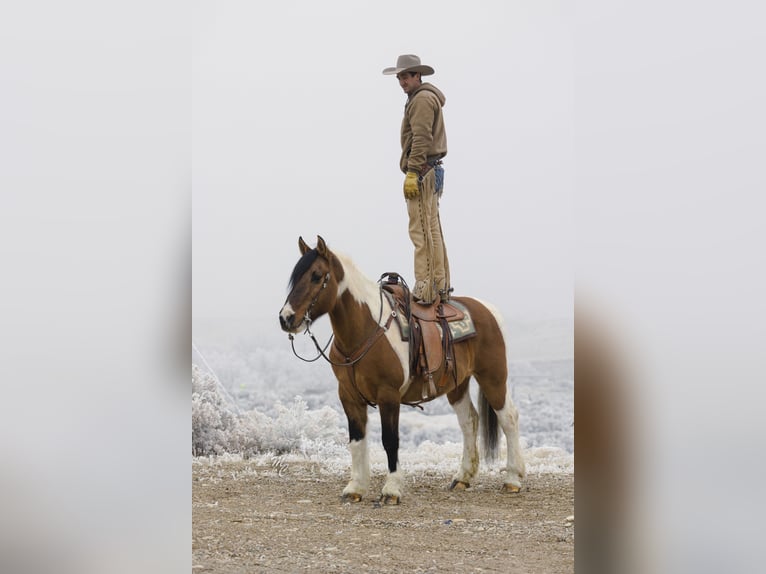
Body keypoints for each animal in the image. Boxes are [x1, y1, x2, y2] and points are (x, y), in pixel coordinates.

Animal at [280, 237, 524, 504]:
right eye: (295, 277)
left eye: (316, 276)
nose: (286, 318)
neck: (366, 329)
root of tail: (488, 310)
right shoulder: (349, 396)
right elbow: (357, 441)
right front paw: (355, 487)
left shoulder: (388, 395)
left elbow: (390, 440)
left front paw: (391, 490)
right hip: (457, 384)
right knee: (469, 421)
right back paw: (463, 477)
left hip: (493, 377)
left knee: (508, 418)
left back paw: (513, 479)